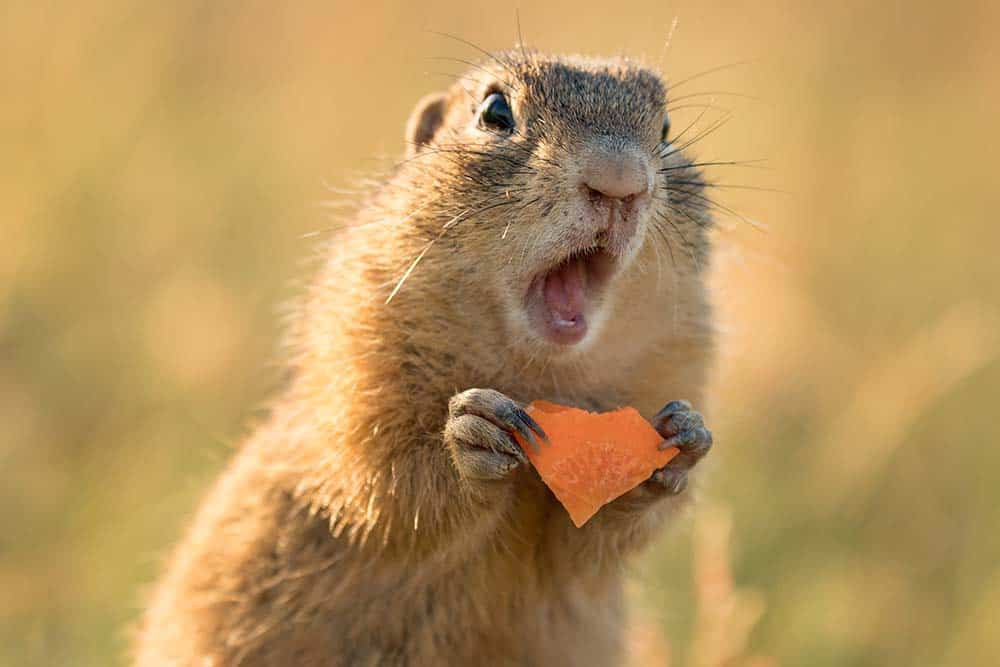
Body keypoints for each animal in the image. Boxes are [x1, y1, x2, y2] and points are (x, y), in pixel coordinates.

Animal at [137, 49, 720, 664]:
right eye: (495, 111)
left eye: (665, 129)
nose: (620, 181)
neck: (541, 373)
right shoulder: (356, 355)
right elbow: (377, 477)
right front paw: (472, 433)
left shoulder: (683, 356)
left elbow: (587, 545)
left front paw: (682, 438)